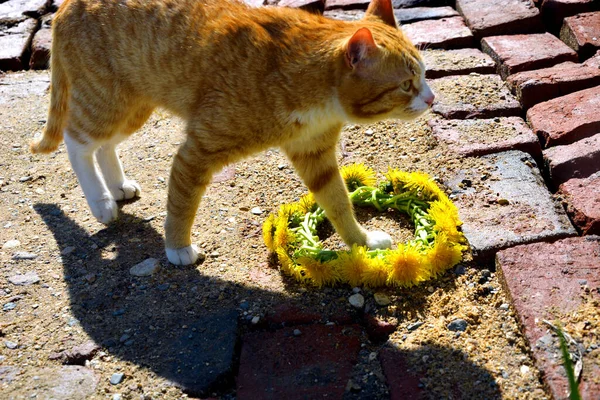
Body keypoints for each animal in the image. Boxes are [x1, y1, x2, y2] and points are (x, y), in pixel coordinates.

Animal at [30, 0, 434, 266]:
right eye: (406, 85)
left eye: (426, 74)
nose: (431, 99)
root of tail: (66, 4)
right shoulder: (197, 152)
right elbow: (182, 203)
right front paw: (177, 247)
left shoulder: (315, 154)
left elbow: (337, 202)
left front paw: (361, 241)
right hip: (107, 101)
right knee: (77, 141)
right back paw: (100, 202)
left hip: (132, 108)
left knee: (104, 146)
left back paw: (116, 187)